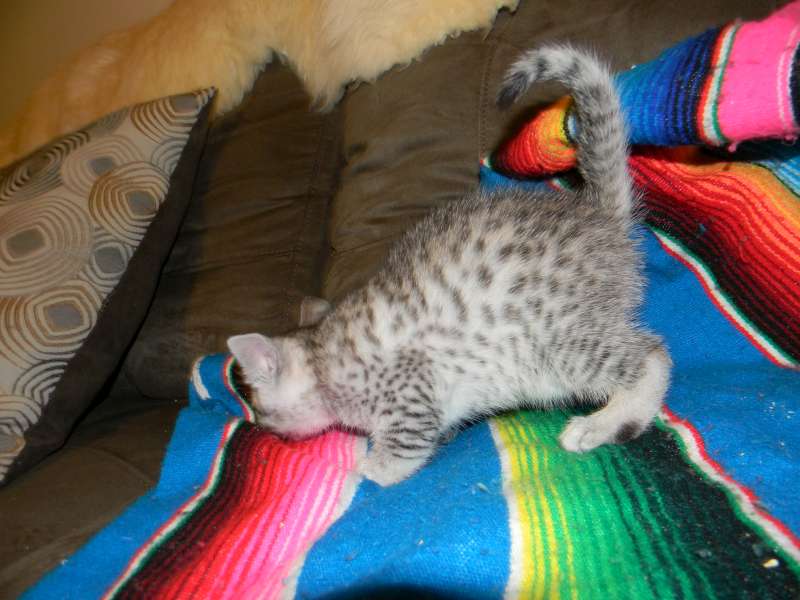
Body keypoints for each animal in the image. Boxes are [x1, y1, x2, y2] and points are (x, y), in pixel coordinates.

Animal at [228, 44, 671, 487]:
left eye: (262, 410)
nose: (267, 431)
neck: (322, 353)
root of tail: (597, 214)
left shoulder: (409, 391)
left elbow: (397, 456)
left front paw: (360, 470)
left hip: (556, 338)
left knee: (653, 355)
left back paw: (608, 422)